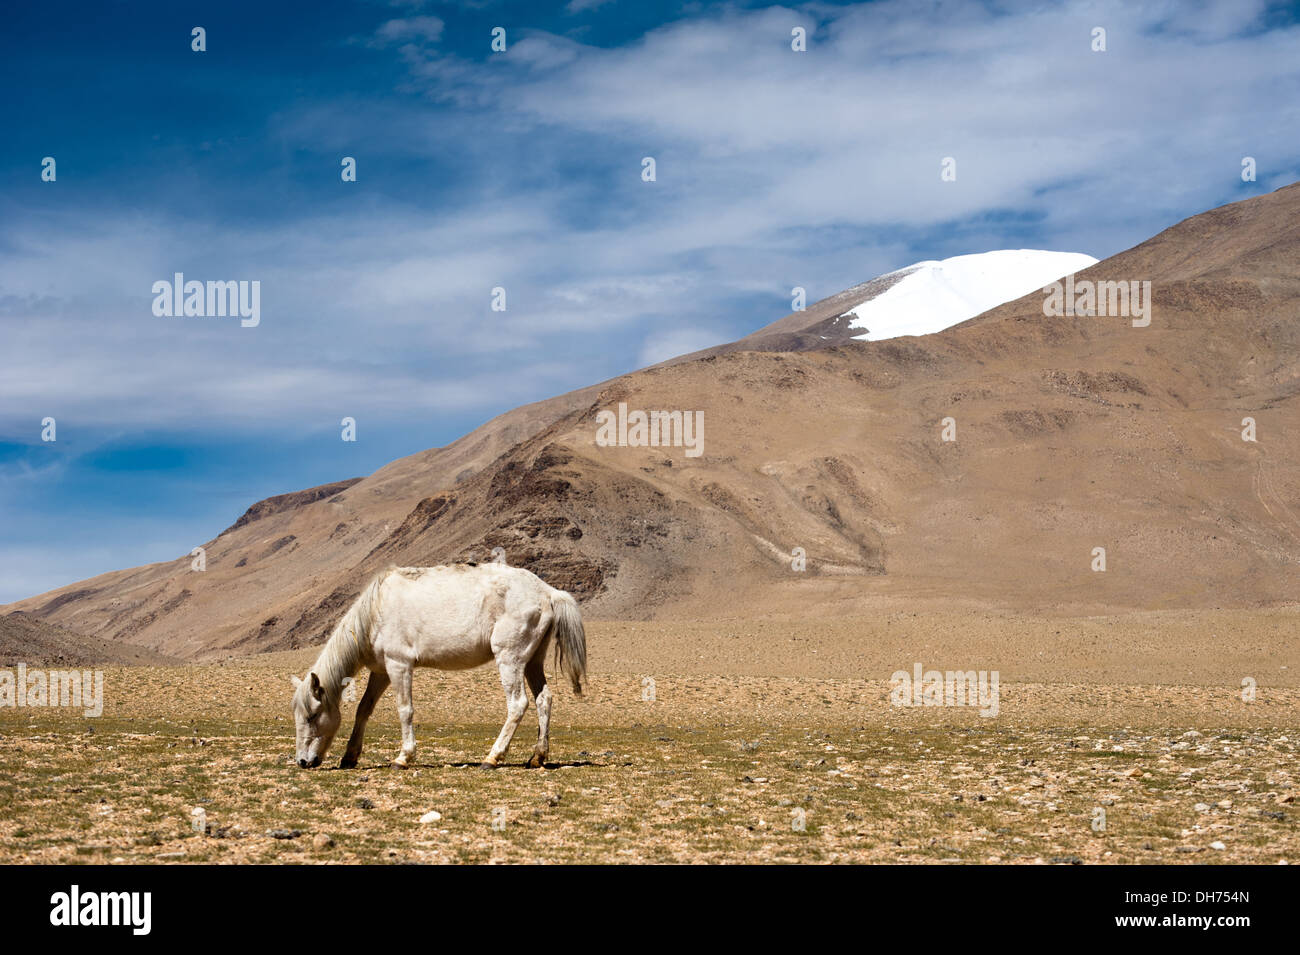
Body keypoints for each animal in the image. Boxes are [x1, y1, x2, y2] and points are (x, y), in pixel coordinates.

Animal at [291, 563, 586, 770]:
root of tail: (548, 592)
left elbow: (405, 710)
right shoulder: (381, 671)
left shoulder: (399, 665)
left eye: (312, 716)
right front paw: (349, 756)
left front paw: (403, 757)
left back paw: (492, 757)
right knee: (543, 699)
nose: (303, 762)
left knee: (517, 704)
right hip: (532, 661)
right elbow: (364, 709)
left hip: (510, 659)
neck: (375, 611)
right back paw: (537, 757)